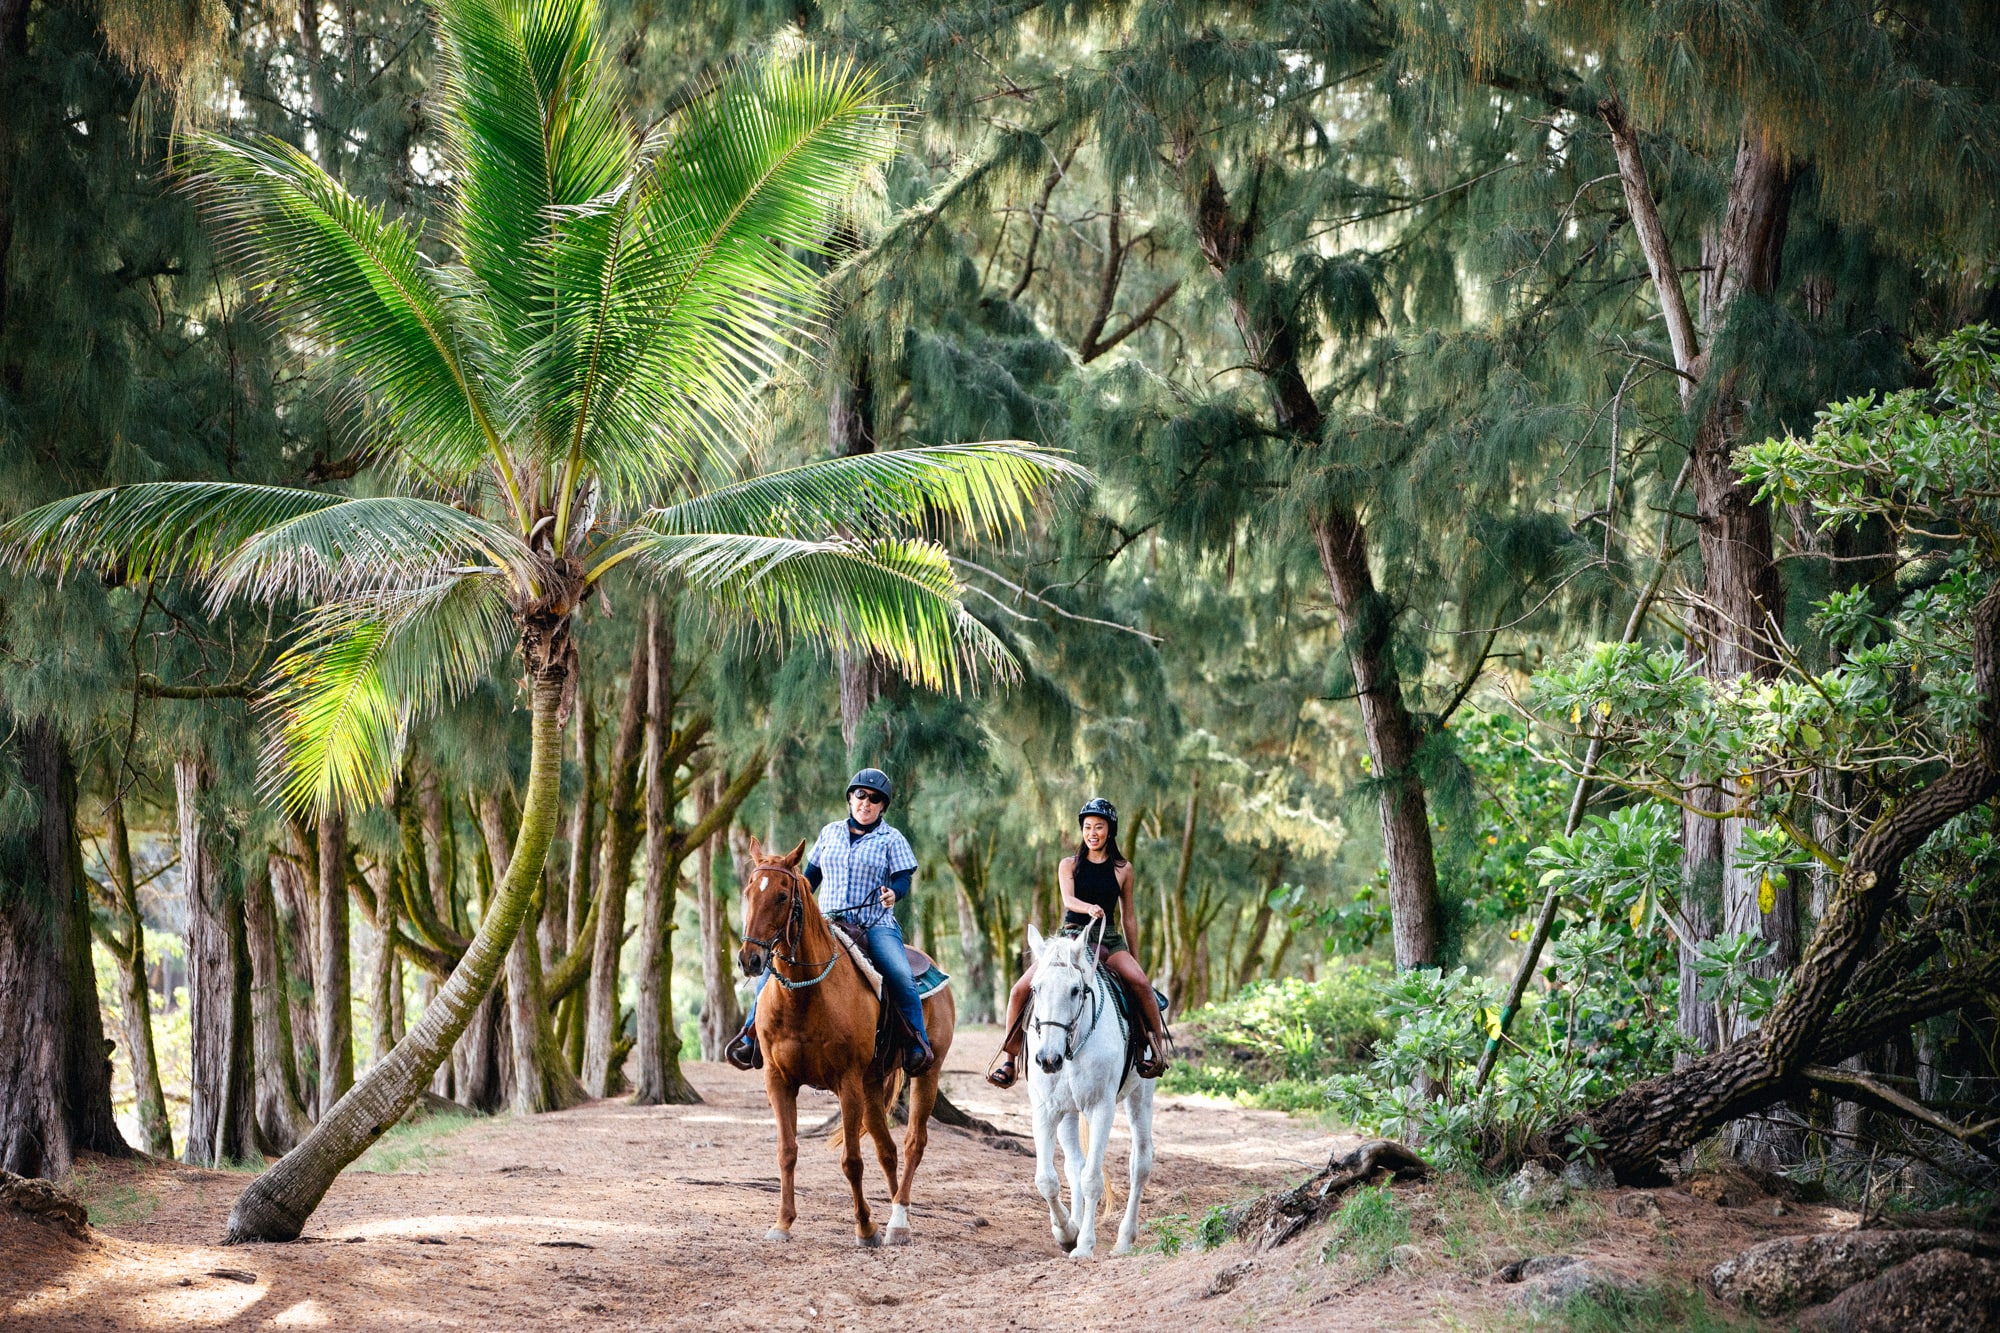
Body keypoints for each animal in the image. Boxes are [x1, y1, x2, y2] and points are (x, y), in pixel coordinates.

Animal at [740, 836, 956, 1240]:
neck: (805, 996)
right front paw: (782, 1222)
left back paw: (898, 1219)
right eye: (748, 891)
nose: (750, 959)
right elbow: (787, 1151)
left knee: (913, 1142)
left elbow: (852, 1160)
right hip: (873, 1083)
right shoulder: (778, 1080)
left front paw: (866, 1227)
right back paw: (895, 1211)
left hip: (925, 1073)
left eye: (781, 895)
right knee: (887, 1149)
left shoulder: (847, 1081)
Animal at [1032, 920, 1160, 1248]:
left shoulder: (1101, 1108)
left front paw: (1085, 1245)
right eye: (1035, 989)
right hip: (1068, 1111)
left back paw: (1124, 1239)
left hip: (1141, 1095)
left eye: (1076, 990)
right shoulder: (1045, 1109)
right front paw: (1066, 1232)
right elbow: (1047, 1179)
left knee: (1140, 1163)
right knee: (1073, 1164)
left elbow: (1092, 1180)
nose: (1048, 1059)